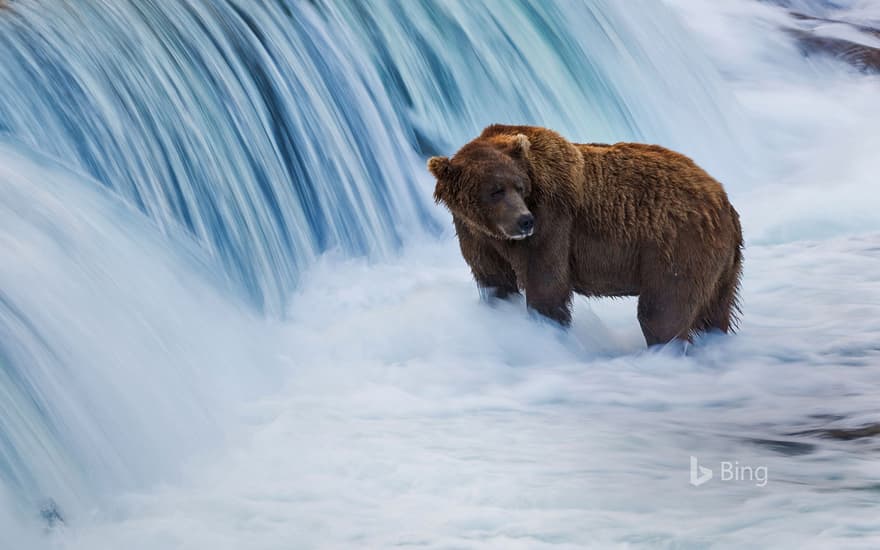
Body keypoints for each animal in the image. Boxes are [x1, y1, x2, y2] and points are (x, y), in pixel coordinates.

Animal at [430, 127, 744, 348]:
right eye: (496, 190)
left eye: (519, 186)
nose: (524, 220)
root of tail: (723, 198)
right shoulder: (477, 238)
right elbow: (496, 283)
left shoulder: (553, 222)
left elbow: (546, 286)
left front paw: (547, 330)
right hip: (721, 265)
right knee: (713, 311)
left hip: (678, 245)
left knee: (662, 310)